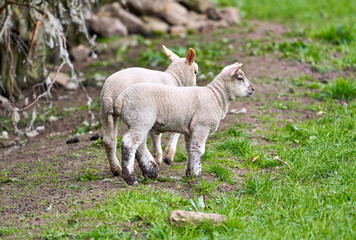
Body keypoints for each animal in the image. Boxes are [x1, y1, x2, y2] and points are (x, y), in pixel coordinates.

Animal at [100, 45, 197, 176]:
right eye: (195, 71)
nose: (195, 86)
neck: (174, 78)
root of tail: (109, 93)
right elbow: (174, 132)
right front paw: (168, 156)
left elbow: (155, 134)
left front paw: (158, 156)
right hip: (136, 113)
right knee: (137, 142)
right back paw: (150, 166)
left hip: (105, 112)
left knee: (109, 141)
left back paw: (116, 169)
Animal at [114, 62, 253, 184]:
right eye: (240, 78)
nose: (253, 89)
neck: (215, 96)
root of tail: (121, 99)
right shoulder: (201, 126)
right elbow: (198, 151)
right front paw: (197, 176)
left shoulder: (191, 131)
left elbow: (190, 150)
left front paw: (190, 174)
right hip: (141, 119)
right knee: (129, 143)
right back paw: (131, 179)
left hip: (137, 121)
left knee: (139, 145)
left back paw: (150, 172)